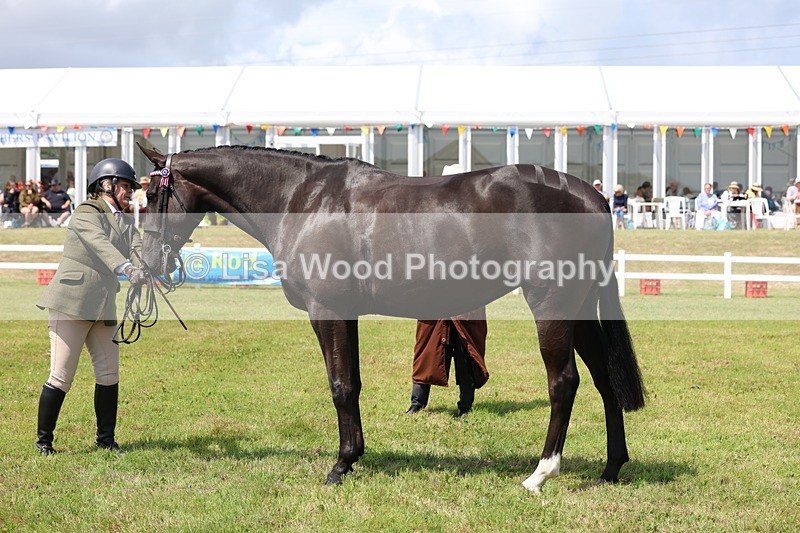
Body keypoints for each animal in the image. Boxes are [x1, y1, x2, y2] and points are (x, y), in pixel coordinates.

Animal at [138, 144, 645, 494]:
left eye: (147, 198)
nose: (148, 263)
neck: (303, 200)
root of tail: (592, 197)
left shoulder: (327, 312)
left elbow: (340, 386)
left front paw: (340, 466)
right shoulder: (346, 315)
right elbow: (353, 383)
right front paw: (354, 456)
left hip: (551, 305)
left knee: (564, 383)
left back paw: (540, 474)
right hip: (580, 310)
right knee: (604, 380)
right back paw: (611, 468)